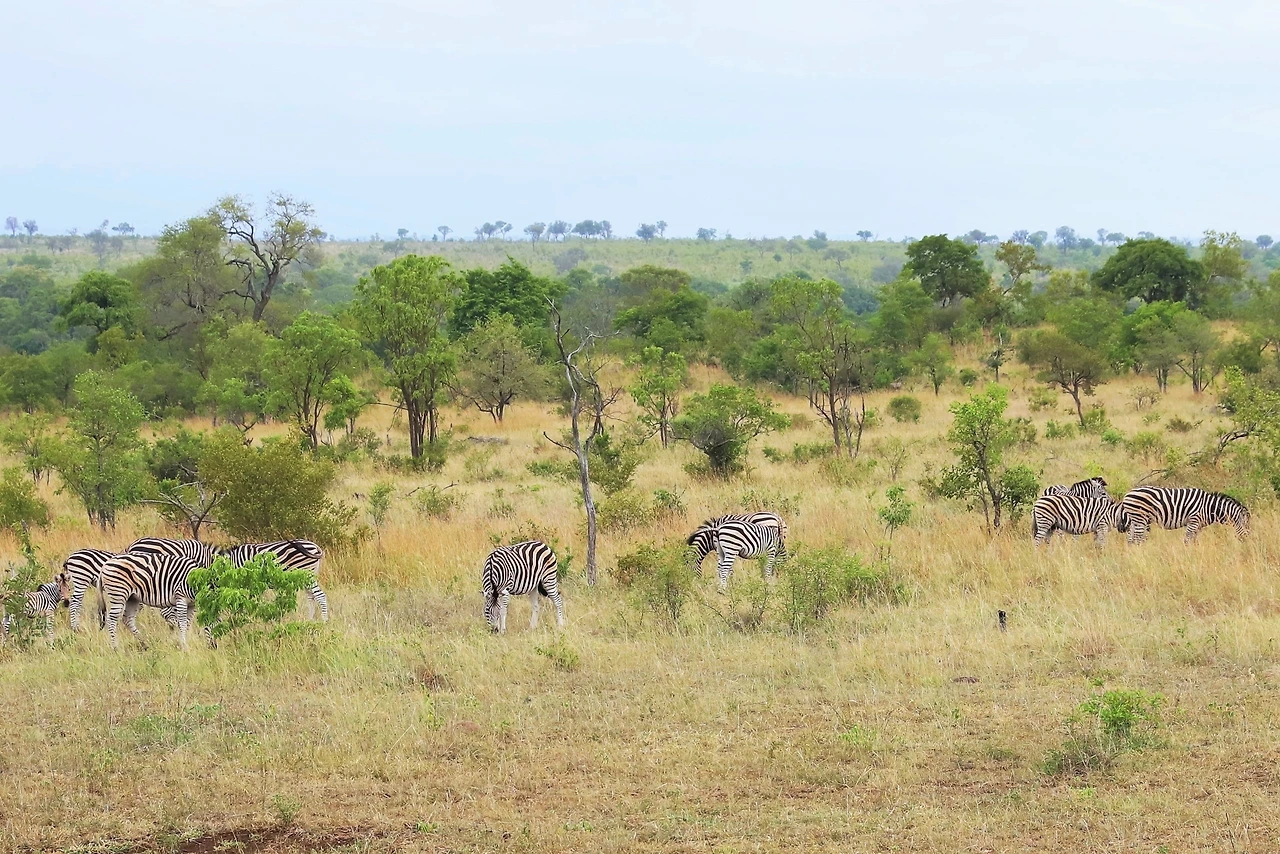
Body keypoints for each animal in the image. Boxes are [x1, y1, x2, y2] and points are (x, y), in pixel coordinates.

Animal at [1121, 486, 1250, 544]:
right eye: (1247, 527)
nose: (1248, 544)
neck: (1209, 507)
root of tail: (1127, 494)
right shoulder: (1193, 521)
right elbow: (1187, 540)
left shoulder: (1198, 526)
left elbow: (1194, 541)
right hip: (1140, 518)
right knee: (1137, 539)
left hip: (1135, 520)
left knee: (1131, 539)